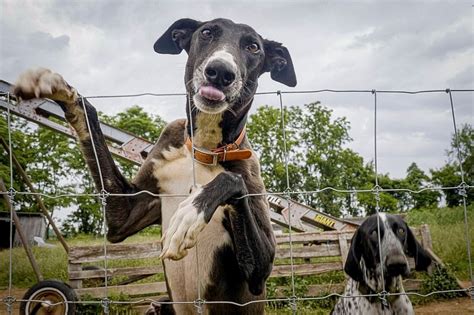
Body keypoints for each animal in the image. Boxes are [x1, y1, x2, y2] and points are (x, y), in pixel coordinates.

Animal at [12, 18, 296, 314]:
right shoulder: (124, 213)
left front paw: (190, 214)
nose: (220, 72)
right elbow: (88, 117)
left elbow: (231, 180)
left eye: (253, 47)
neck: (203, 150)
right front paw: (58, 88)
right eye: (207, 32)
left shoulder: (259, 273)